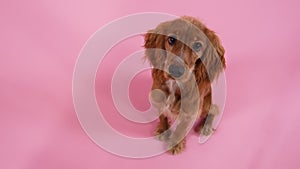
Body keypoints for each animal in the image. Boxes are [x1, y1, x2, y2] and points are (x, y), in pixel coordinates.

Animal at [144, 16, 226, 154]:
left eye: (197, 45)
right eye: (171, 39)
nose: (176, 70)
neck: (174, 85)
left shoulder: (190, 112)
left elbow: (181, 129)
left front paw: (175, 144)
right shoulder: (157, 98)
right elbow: (162, 116)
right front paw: (163, 130)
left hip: (206, 103)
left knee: (213, 110)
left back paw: (206, 127)